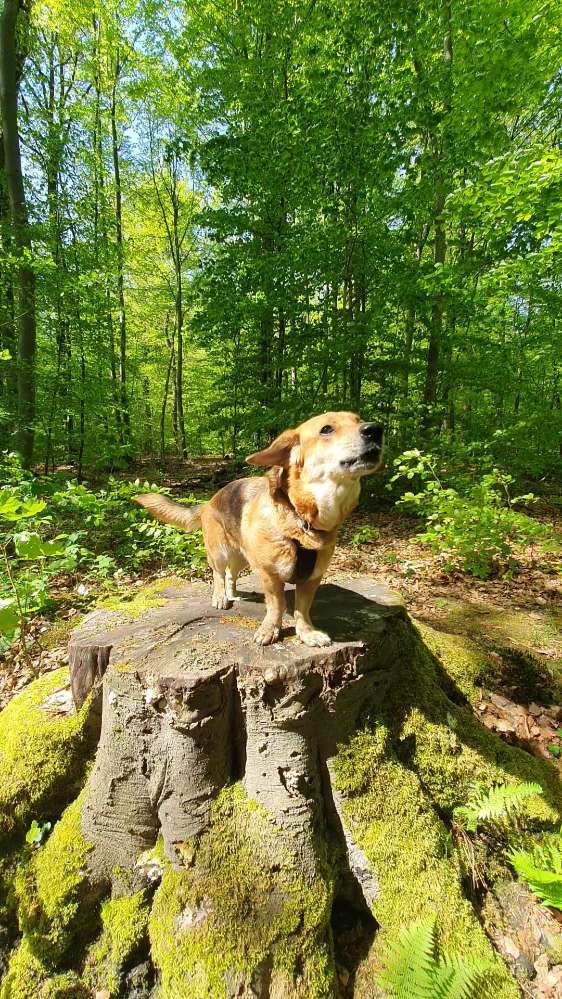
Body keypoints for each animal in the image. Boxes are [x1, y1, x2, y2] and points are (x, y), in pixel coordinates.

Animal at [133, 412, 382, 648]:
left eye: (358, 420)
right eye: (326, 429)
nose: (376, 429)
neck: (301, 517)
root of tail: (208, 501)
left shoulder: (311, 578)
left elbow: (302, 610)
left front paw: (307, 633)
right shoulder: (269, 575)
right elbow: (277, 605)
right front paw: (270, 630)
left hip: (242, 557)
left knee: (231, 575)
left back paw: (232, 594)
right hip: (220, 552)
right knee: (218, 574)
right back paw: (220, 597)